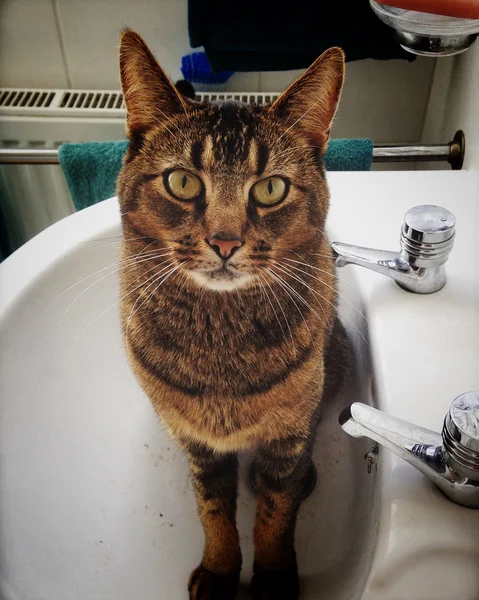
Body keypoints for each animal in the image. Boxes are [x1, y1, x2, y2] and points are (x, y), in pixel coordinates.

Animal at [116, 29, 348, 600]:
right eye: (182, 182)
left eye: (270, 188)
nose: (224, 242)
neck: (220, 340)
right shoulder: (198, 443)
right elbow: (213, 509)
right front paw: (221, 572)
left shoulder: (290, 436)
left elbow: (275, 512)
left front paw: (273, 577)